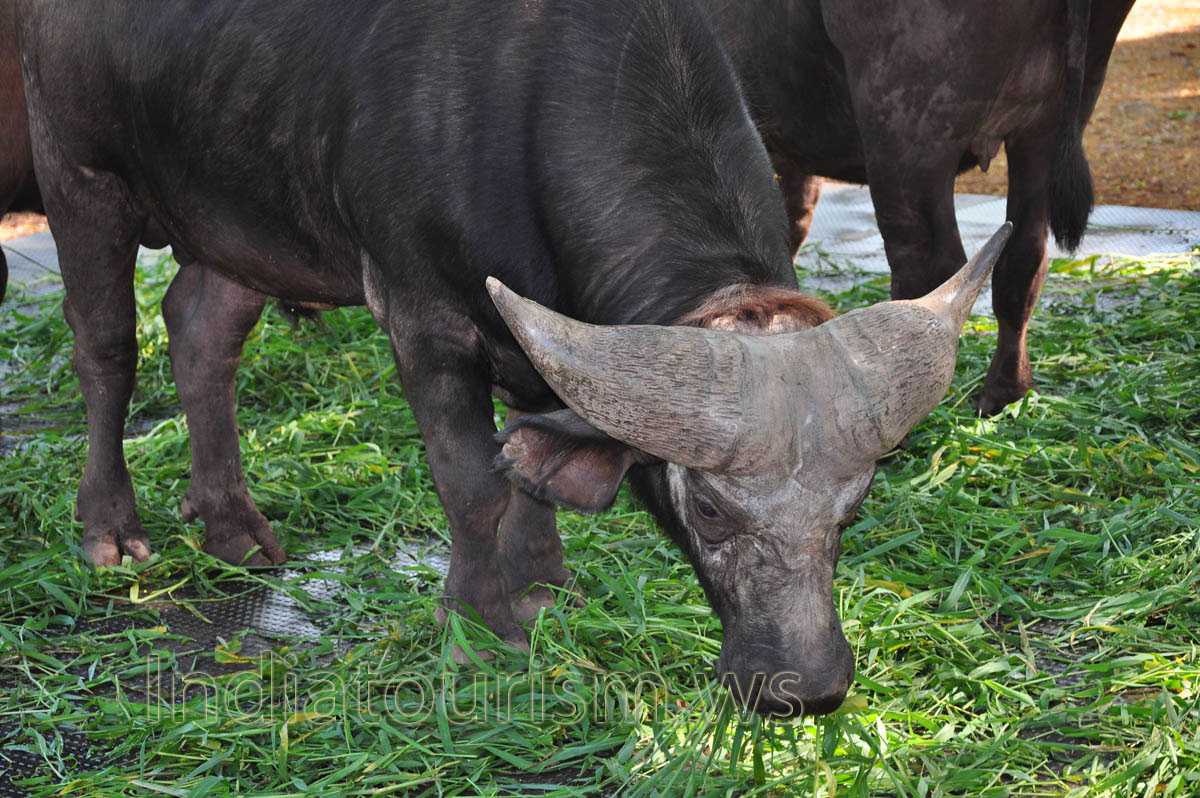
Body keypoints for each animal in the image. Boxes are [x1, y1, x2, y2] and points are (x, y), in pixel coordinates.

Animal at [15, 0, 1008, 716]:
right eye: (710, 512)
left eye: (854, 508)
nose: (805, 687)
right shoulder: (419, 315)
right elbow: (472, 484)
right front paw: (480, 623)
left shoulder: (540, 328)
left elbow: (529, 459)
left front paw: (544, 587)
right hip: (78, 174)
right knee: (106, 346)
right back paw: (111, 529)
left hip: (241, 214)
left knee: (201, 331)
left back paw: (233, 527)